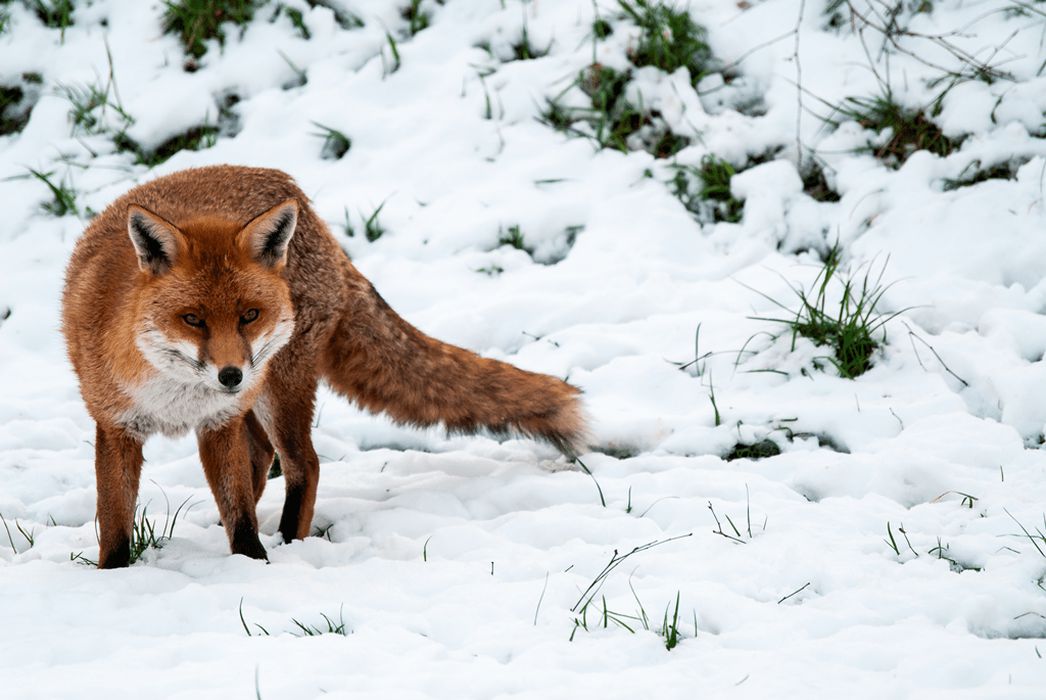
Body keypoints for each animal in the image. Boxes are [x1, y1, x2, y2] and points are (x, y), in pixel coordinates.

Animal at [62, 165, 588, 569]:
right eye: (192, 319)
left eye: (249, 315)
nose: (231, 375)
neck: (175, 396)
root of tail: (307, 207)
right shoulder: (119, 426)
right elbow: (116, 523)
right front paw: (114, 576)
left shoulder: (218, 422)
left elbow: (241, 516)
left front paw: (250, 565)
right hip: (258, 400)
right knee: (262, 457)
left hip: (278, 387)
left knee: (303, 465)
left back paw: (289, 541)